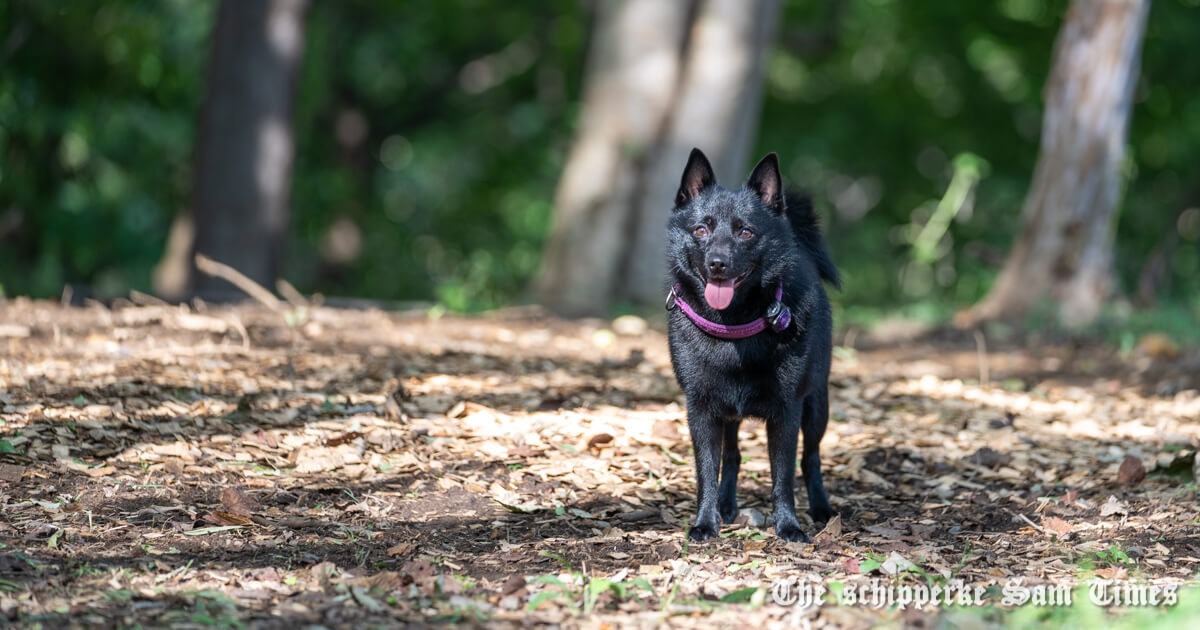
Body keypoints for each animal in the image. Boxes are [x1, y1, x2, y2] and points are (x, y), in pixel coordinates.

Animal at [662, 147, 840, 540]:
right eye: (701, 229)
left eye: (745, 232)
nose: (718, 263)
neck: (733, 328)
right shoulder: (701, 410)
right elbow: (706, 472)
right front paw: (705, 522)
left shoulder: (788, 411)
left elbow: (783, 476)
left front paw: (788, 526)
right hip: (729, 415)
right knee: (732, 455)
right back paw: (727, 506)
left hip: (817, 407)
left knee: (811, 458)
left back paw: (821, 508)